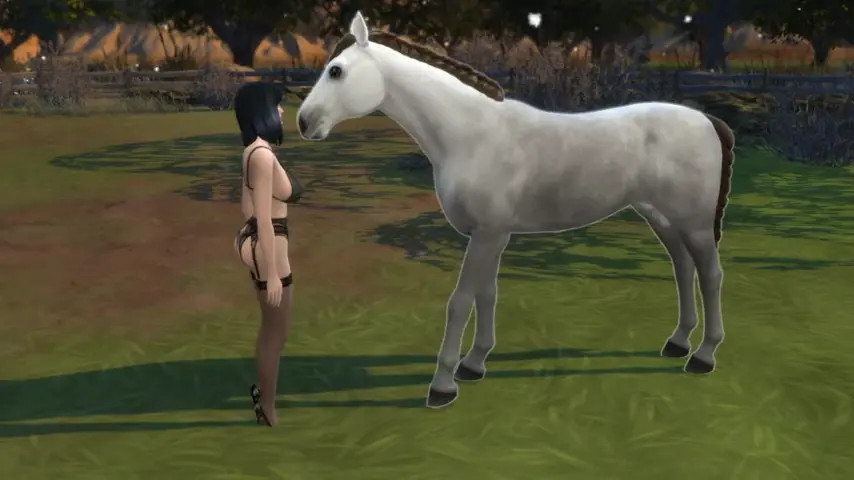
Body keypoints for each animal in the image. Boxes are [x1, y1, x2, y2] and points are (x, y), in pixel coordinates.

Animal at [296, 12, 735, 409]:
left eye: (336, 71)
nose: (303, 122)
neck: (470, 135)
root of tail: (708, 120)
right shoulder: (493, 234)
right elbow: (487, 294)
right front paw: (474, 365)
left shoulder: (487, 234)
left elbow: (460, 301)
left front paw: (443, 386)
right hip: (662, 217)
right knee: (682, 269)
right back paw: (678, 342)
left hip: (695, 224)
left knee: (711, 275)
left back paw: (704, 356)